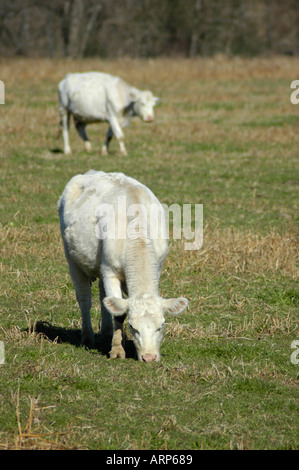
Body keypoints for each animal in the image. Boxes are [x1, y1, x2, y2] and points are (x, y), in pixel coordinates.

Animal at [57, 171, 189, 362]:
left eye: (162, 326)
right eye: (133, 327)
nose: (149, 358)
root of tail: (89, 173)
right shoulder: (110, 271)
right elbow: (119, 313)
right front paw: (118, 350)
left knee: (104, 298)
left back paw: (106, 333)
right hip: (73, 261)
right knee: (84, 299)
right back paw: (88, 338)